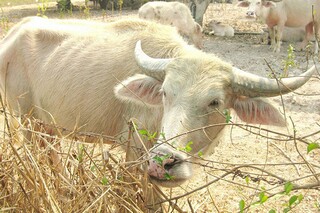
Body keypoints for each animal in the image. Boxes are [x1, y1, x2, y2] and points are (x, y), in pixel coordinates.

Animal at [0, 17, 316, 190]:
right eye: (165, 93)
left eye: (214, 101)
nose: (164, 163)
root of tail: (12, 36)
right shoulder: (135, 151)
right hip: (26, 122)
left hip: (48, 127)